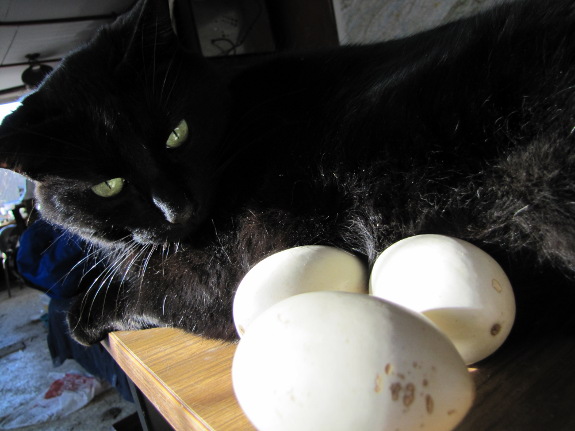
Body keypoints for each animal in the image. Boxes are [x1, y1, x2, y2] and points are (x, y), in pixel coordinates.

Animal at [1, 0, 575, 344]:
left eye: (176, 133)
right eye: (108, 185)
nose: (175, 207)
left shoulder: (237, 268)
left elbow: (150, 291)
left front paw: (80, 314)